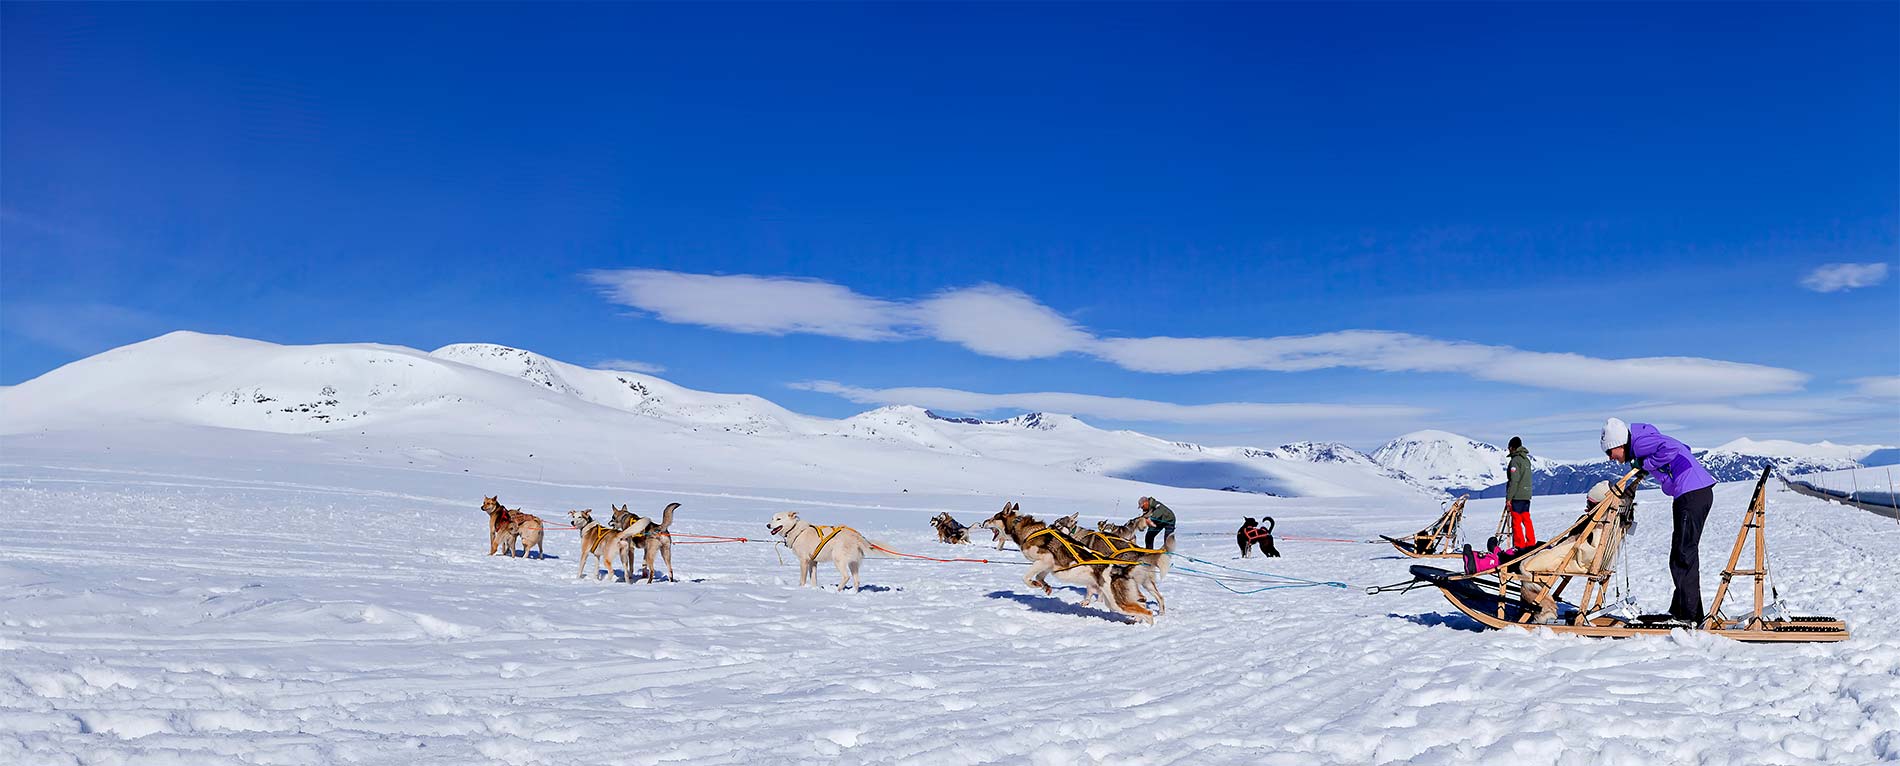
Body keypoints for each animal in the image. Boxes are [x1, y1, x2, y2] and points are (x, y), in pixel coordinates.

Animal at [980, 505, 1155, 623]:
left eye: (993, 517)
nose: (982, 523)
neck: (1027, 530)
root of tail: (1121, 569)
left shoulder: (1045, 559)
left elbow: (1027, 577)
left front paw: (1035, 584)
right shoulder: (1048, 566)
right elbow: (1040, 576)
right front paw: (1045, 586)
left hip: (1116, 602)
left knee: (1148, 613)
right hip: (1114, 601)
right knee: (1142, 605)